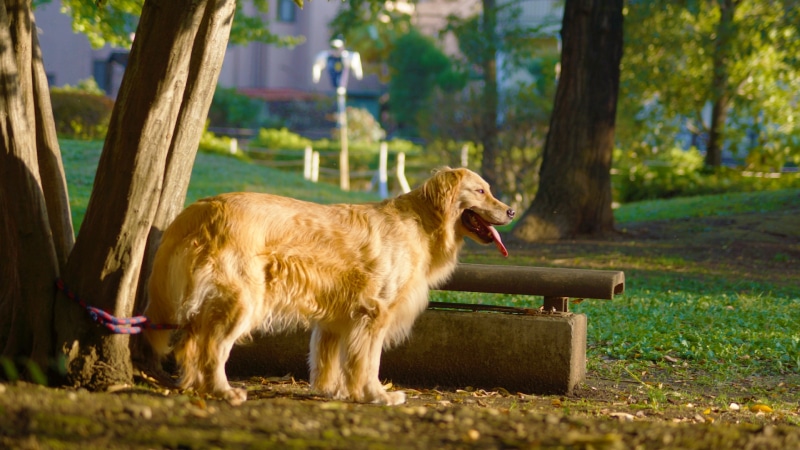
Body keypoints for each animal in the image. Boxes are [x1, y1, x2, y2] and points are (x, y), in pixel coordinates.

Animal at [143, 167, 512, 406]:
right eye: (481, 191)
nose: (511, 210)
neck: (422, 223)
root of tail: (201, 208)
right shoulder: (374, 312)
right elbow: (369, 362)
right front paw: (376, 394)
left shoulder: (338, 315)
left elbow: (329, 360)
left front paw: (335, 392)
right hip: (243, 301)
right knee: (213, 349)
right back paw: (223, 391)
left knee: (191, 345)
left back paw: (195, 387)